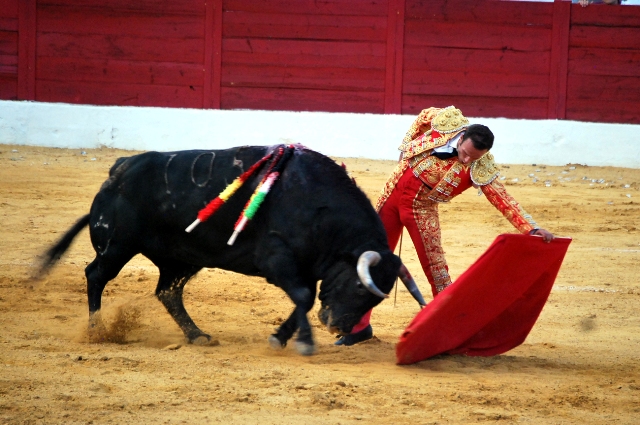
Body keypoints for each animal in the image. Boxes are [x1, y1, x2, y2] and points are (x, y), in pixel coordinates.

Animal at [36, 146, 424, 354]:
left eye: (375, 299)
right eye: (359, 285)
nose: (337, 327)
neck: (319, 207)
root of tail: (117, 170)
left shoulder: (305, 268)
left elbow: (305, 298)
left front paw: (281, 337)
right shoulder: (276, 258)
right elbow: (303, 296)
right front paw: (303, 342)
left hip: (181, 258)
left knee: (168, 292)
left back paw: (197, 336)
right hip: (118, 246)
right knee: (96, 275)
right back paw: (97, 331)